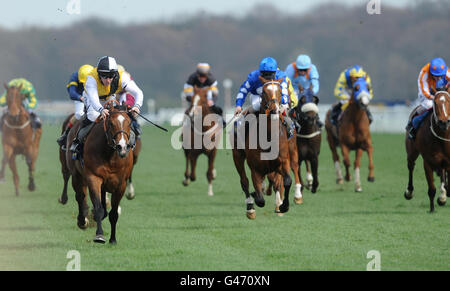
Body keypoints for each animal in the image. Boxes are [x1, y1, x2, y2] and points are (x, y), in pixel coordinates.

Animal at [65, 100, 134, 244]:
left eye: (129, 123)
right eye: (111, 123)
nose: (122, 147)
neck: (110, 156)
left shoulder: (121, 184)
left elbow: (114, 213)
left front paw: (113, 239)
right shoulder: (93, 177)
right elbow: (98, 208)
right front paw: (100, 235)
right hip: (76, 174)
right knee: (80, 196)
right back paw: (82, 221)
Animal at [232, 77, 296, 219]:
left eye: (280, 91)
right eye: (264, 92)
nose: (274, 109)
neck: (268, 137)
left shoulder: (282, 162)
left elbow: (287, 181)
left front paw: (284, 206)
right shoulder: (255, 168)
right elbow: (260, 199)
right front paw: (255, 197)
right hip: (237, 156)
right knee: (244, 181)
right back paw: (250, 208)